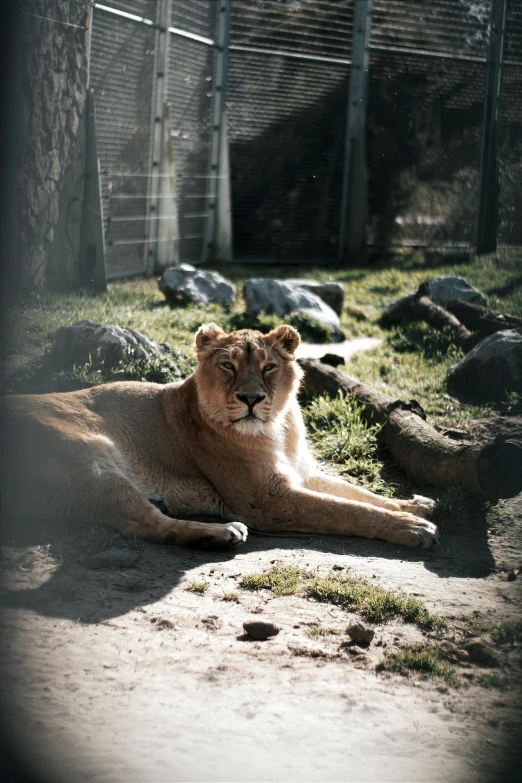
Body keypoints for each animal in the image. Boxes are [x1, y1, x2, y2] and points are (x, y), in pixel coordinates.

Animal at [3, 324, 438, 552]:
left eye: (268, 367)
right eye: (228, 365)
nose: (251, 398)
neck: (279, 426)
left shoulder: (302, 474)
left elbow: (360, 494)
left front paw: (416, 505)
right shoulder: (267, 499)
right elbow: (346, 511)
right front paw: (413, 529)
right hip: (91, 457)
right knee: (145, 526)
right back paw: (222, 533)